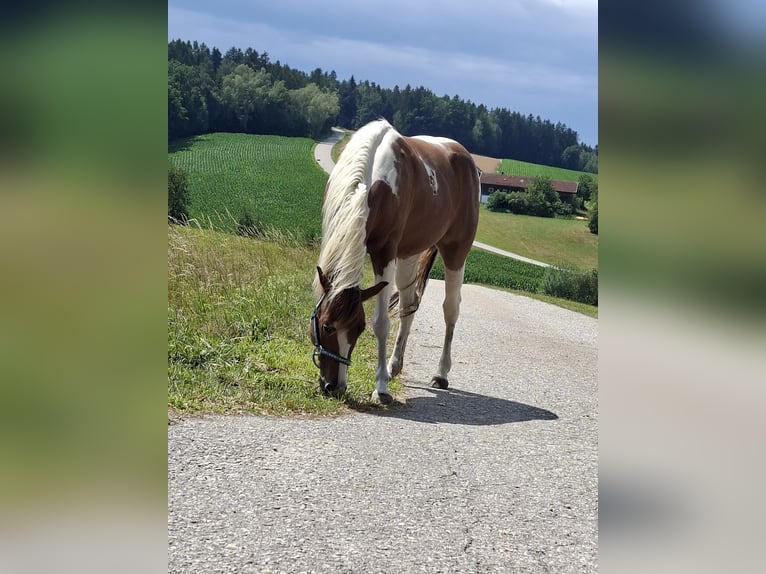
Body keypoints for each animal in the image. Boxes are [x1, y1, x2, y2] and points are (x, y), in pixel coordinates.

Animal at [310, 119, 480, 405]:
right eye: (327, 327)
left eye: (359, 329)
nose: (335, 386)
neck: (371, 179)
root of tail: (467, 159)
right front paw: (384, 377)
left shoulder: (385, 253)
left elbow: (382, 323)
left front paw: (380, 389)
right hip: (409, 254)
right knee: (408, 306)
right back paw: (394, 366)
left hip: (455, 252)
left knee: (450, 309)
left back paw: (441, 373)